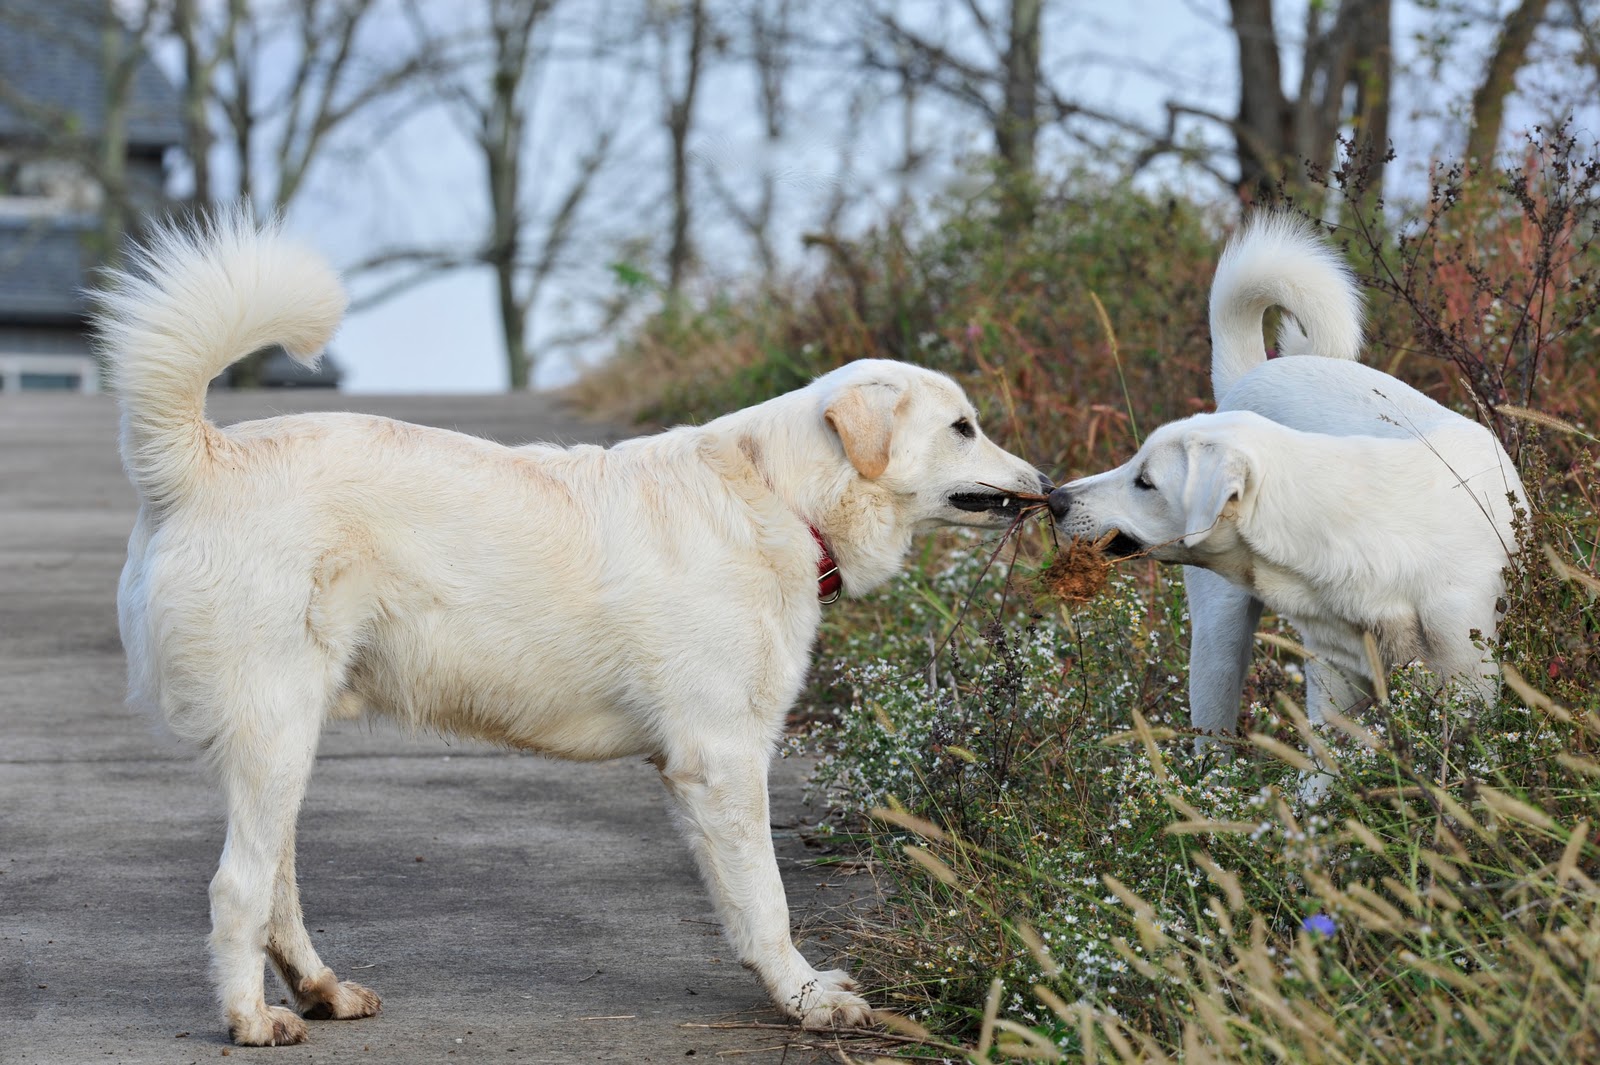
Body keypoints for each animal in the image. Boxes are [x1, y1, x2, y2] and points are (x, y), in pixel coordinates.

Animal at [100, 215, 1049, 1042]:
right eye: (963, 427)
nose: (1044, 482)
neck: (779, 495)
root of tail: (200, 461)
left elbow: (746, 903)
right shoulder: (722, 761)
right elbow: (768, 901)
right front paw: (807, 998)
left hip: (285, 744)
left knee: (277, 886)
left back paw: (321, 989)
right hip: (275, 731)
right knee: (237, 887)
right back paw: (250, 1018)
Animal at [1049, 212, 1523, 735]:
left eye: (1145, 481)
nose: (1054, 499)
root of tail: (1250, 374)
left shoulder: (1470, 688)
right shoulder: (1336, 689)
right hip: (1218, 649)